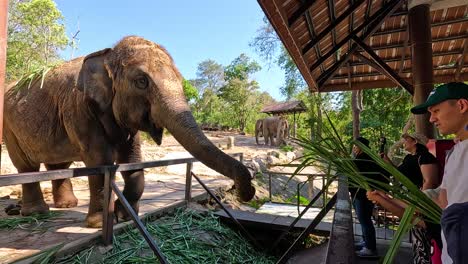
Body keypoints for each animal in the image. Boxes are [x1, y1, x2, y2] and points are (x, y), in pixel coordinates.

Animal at [2, 36, 256, 228]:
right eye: (142, 81)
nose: (249, 192)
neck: (107, 54)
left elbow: (133, 160)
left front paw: (123, 217)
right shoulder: (79, 109)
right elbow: (99, 162)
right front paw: (98, 224)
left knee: (58, 165)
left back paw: (66, 206)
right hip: (9, 127)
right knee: (26, 167)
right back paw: (37, 213)